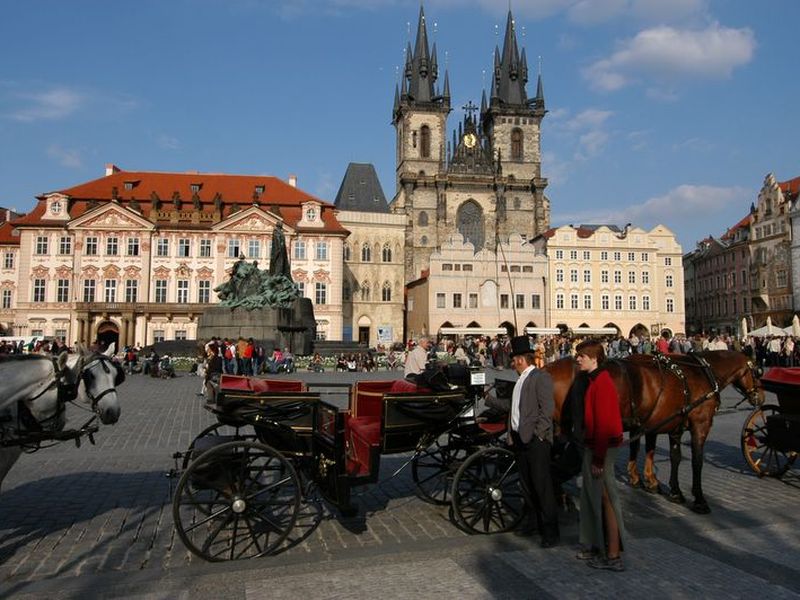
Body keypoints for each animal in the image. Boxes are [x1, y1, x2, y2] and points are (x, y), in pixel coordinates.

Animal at [544, 352, 764, 516]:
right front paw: (699, 500)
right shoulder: (700, 424)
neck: (701, 372)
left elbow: (670, 455)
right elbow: (696, 461)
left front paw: (668, 489)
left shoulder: (667, 423)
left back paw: (560, 497)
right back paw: (560, 497)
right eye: (757, 371)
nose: (761, 397)